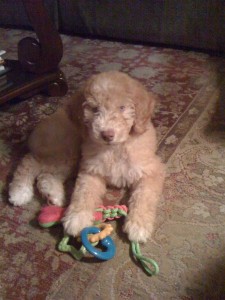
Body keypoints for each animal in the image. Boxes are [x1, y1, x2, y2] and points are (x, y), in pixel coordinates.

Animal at [9, 71, 165, 244]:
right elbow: (83, 193)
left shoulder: (150, 171)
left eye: (122, 107)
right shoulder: (90, 170)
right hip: (64, 150)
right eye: (95, 109)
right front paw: (77, 219)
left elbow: (144, 196)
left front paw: (138, 226)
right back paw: (19, 192)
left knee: (46, 174)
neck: (115, 148)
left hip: (67, 159)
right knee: (30, 162)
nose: (107, 135)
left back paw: (54, 195)